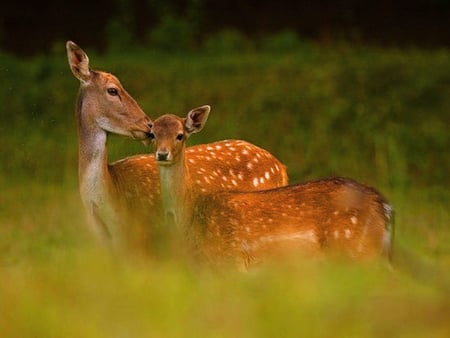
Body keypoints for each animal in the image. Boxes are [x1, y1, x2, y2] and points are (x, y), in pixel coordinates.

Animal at [149, 107, 392, 268]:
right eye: (153, 134)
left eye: (180, 135)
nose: (162, 154)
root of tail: (385, 207)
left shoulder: (231, 260)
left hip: (356, 250)